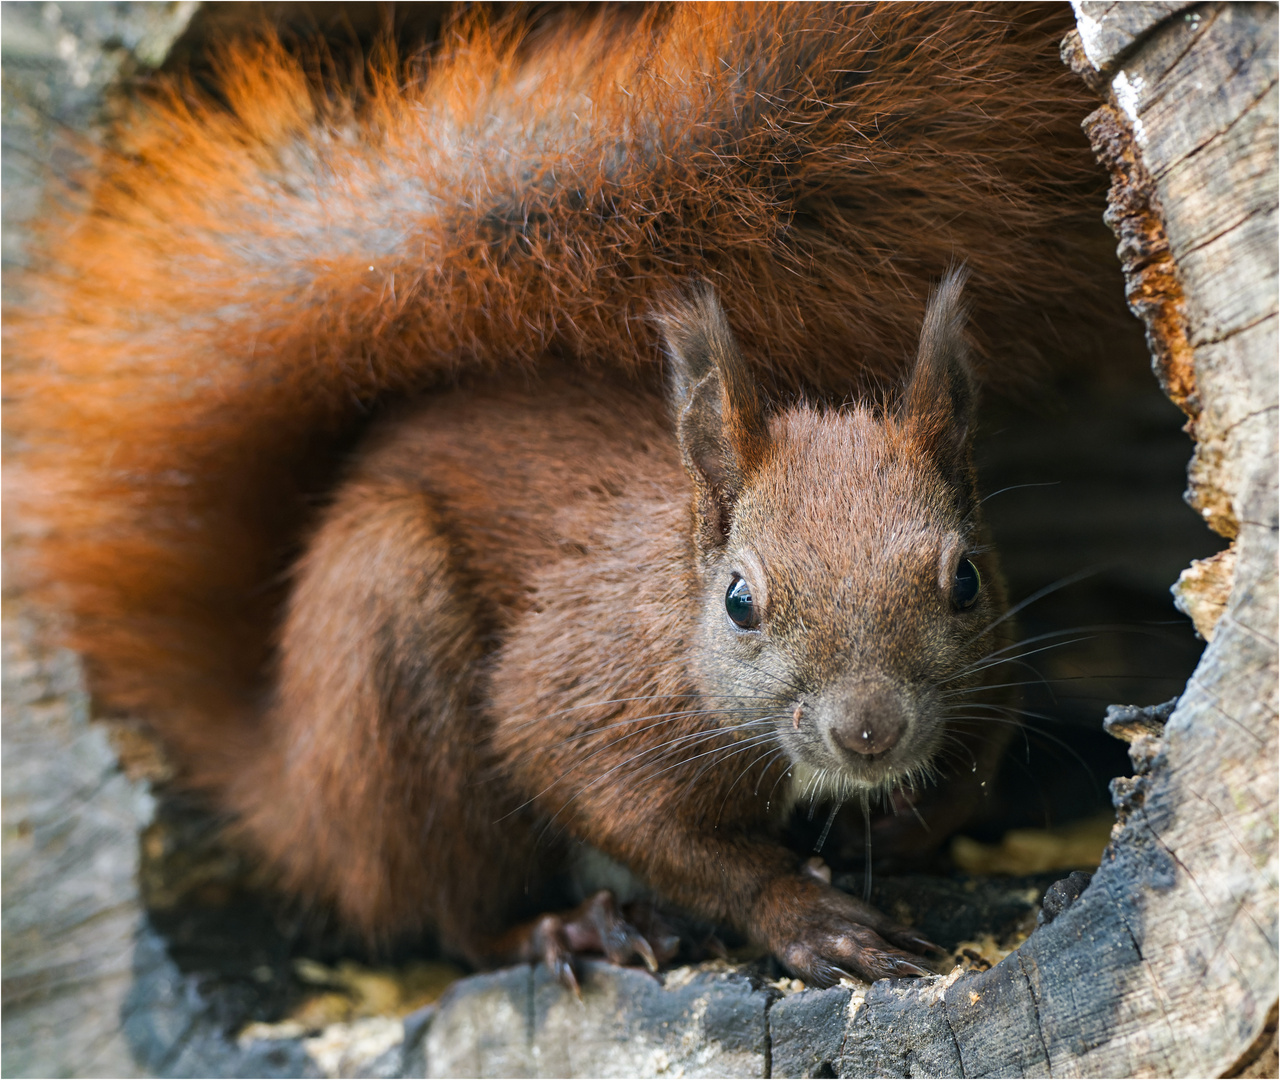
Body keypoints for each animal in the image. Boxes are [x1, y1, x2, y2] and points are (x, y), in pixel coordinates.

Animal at [7, 4, 1131, 987]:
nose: (870, 733)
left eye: (965, 581)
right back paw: (568, 929)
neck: (669, 600)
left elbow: (977, 754)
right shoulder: (583, 704)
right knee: (454, 914)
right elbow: (641, 823)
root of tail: (289, 780)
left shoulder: (991, 671)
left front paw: (902, 825)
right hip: (391, 657)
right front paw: (808, 917)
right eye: (738, 600)